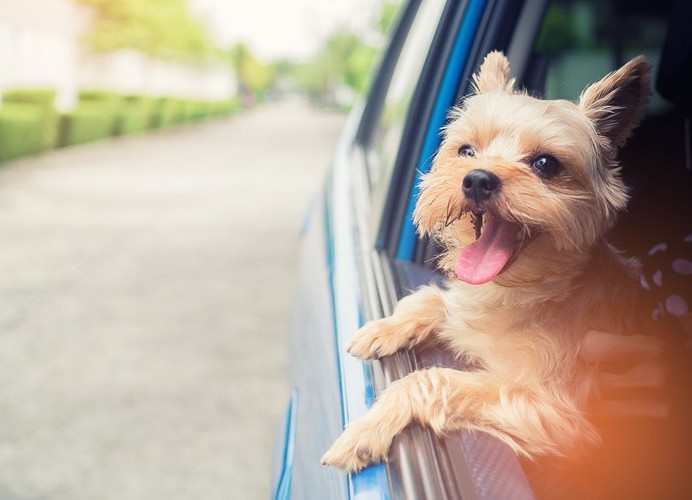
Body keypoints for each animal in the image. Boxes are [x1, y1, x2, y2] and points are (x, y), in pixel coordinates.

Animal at [318, 50, 660, 472]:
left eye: (546, 164)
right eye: (466, 151)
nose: (477, 179)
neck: (518, 292)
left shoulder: (549, 410)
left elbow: (432, 379)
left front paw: (370, 427)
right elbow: (431, 299)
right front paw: (384, 327)